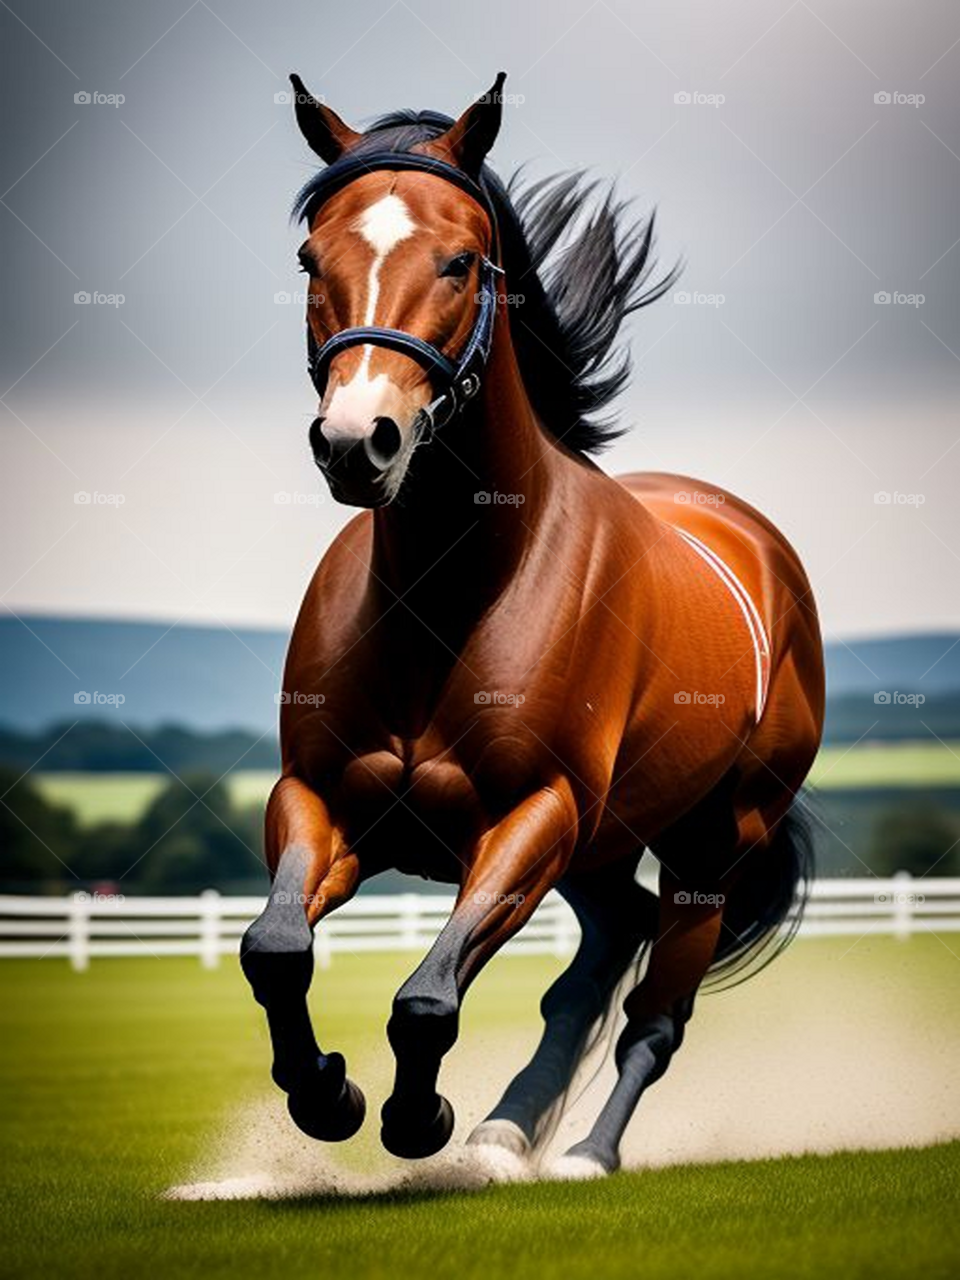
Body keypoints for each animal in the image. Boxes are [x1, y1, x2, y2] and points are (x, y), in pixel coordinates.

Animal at [240, 72, 825, 1179]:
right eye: (308, 258)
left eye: (461, 260)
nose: (358, 442)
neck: (446, 598)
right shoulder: (322, 798)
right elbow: (275, 949)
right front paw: (327, 1093)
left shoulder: (533, 816)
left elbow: (427, 998)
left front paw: (415, 1117)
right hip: (608, 853)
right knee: (600, 957)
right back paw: (508, 1130)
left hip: (711, 850)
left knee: (652, 1018)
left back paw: (581, 1152)